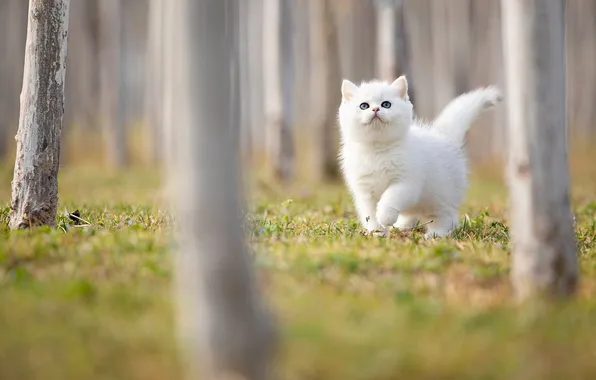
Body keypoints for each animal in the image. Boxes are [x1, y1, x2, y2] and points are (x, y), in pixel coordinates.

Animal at [338, 75, 500, 238]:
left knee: (447, 217)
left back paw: (435, 234)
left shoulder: (407, 183)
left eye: (386, 104)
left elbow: (391, 197)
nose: (376, 109)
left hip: (442, 196)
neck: (377, 150)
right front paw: (377, 232)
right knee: (411, 213)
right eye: (364, 106)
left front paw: (385, 216)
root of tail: (445, 138)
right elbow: (370, 214)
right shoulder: (364, 191)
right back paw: (402, 227)